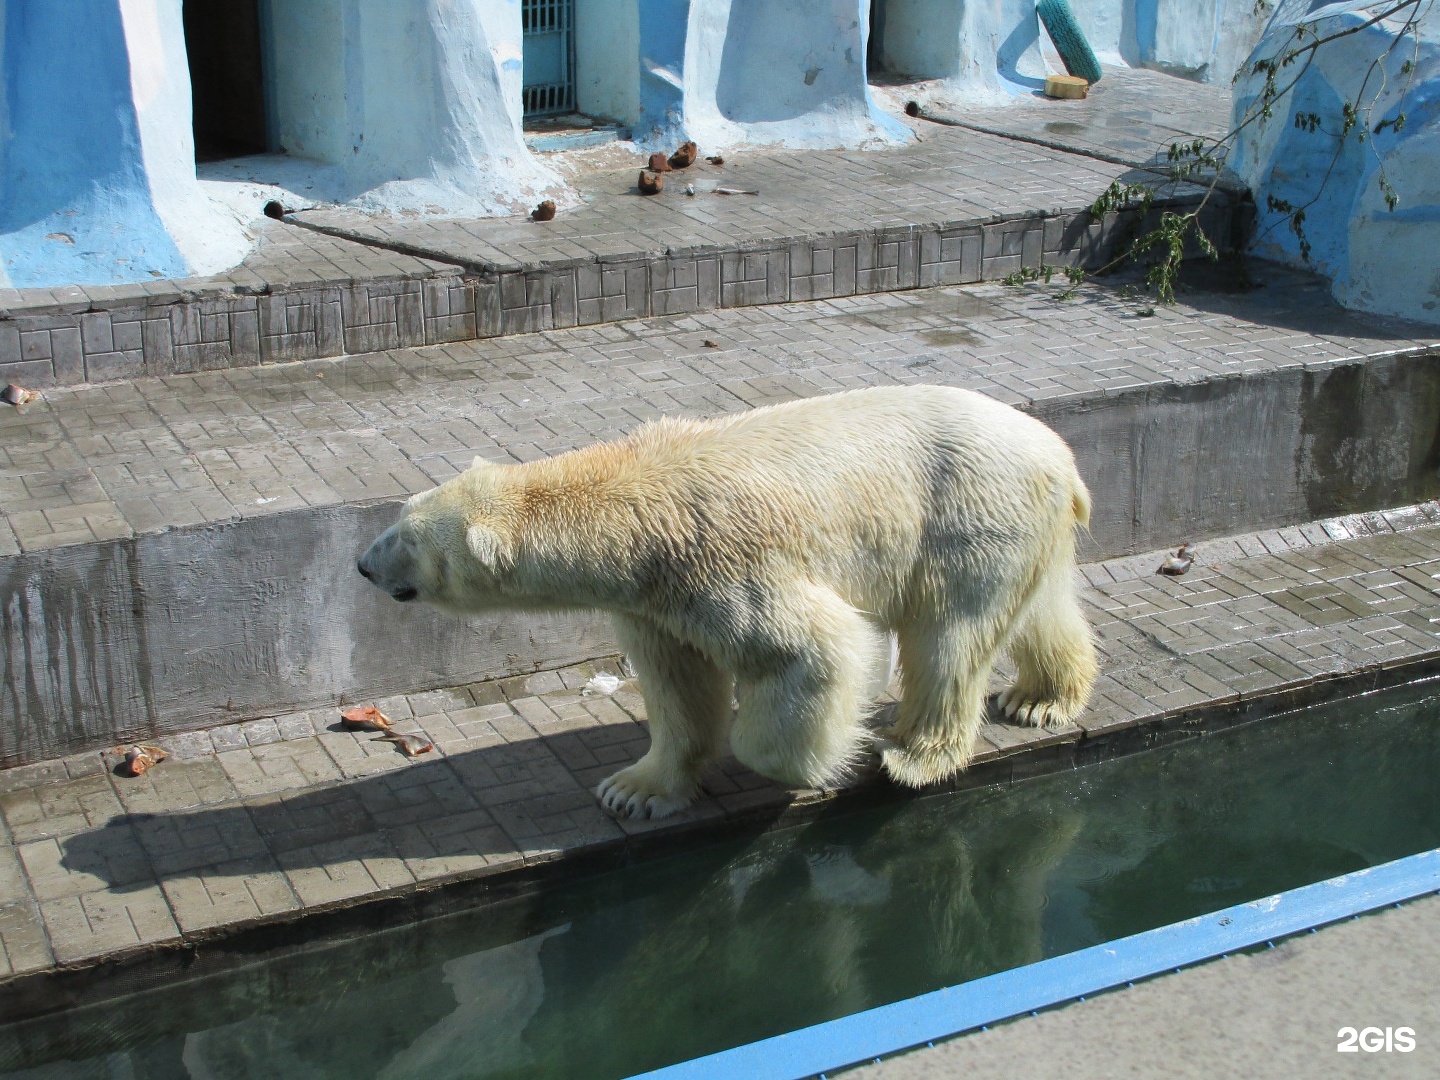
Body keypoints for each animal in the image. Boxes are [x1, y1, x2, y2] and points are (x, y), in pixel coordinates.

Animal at [357, 388, 1088, 817]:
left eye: (405, 537)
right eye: (399, 514)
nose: (362, 564)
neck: (628, 509)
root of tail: (1061, 456)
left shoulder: (720, 562)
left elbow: (815, 648)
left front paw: (815, 754)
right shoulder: (653, 598)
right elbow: (676, 684)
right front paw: (635, 790)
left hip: (967, 511)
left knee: (948, 636)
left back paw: (913, 752)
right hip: (1024, 525)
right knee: (1037, 607)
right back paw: (1040, 698)